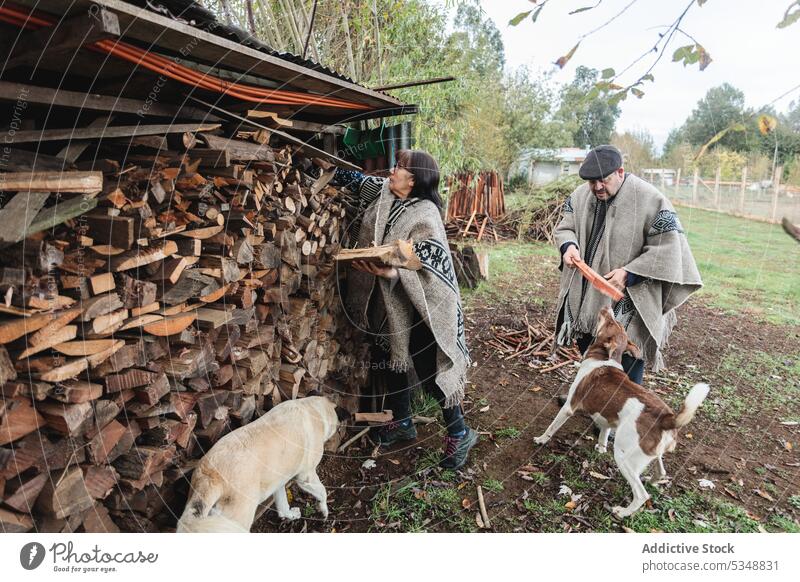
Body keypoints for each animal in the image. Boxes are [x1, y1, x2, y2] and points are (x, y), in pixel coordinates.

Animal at [178, 396, 346, 532]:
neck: (313, 410)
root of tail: (211, 477)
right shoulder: (306, 477)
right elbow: (323, 492)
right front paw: (324, 511)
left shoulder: (279, 482)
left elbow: (283, 506)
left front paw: (290, 515)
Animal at [536, 310, 708, 520]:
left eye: (610, 322)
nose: (606, 308)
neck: (605, 358)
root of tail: (666, 419)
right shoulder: (607, 417)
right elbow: (603, 433)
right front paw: (600, 449)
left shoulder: (569, 406)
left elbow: (552, 427)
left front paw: (541, 439)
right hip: (651, 454)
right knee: (661, 472)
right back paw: (652, 479)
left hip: (624, 458)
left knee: (641, 494)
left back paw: (623, 511)